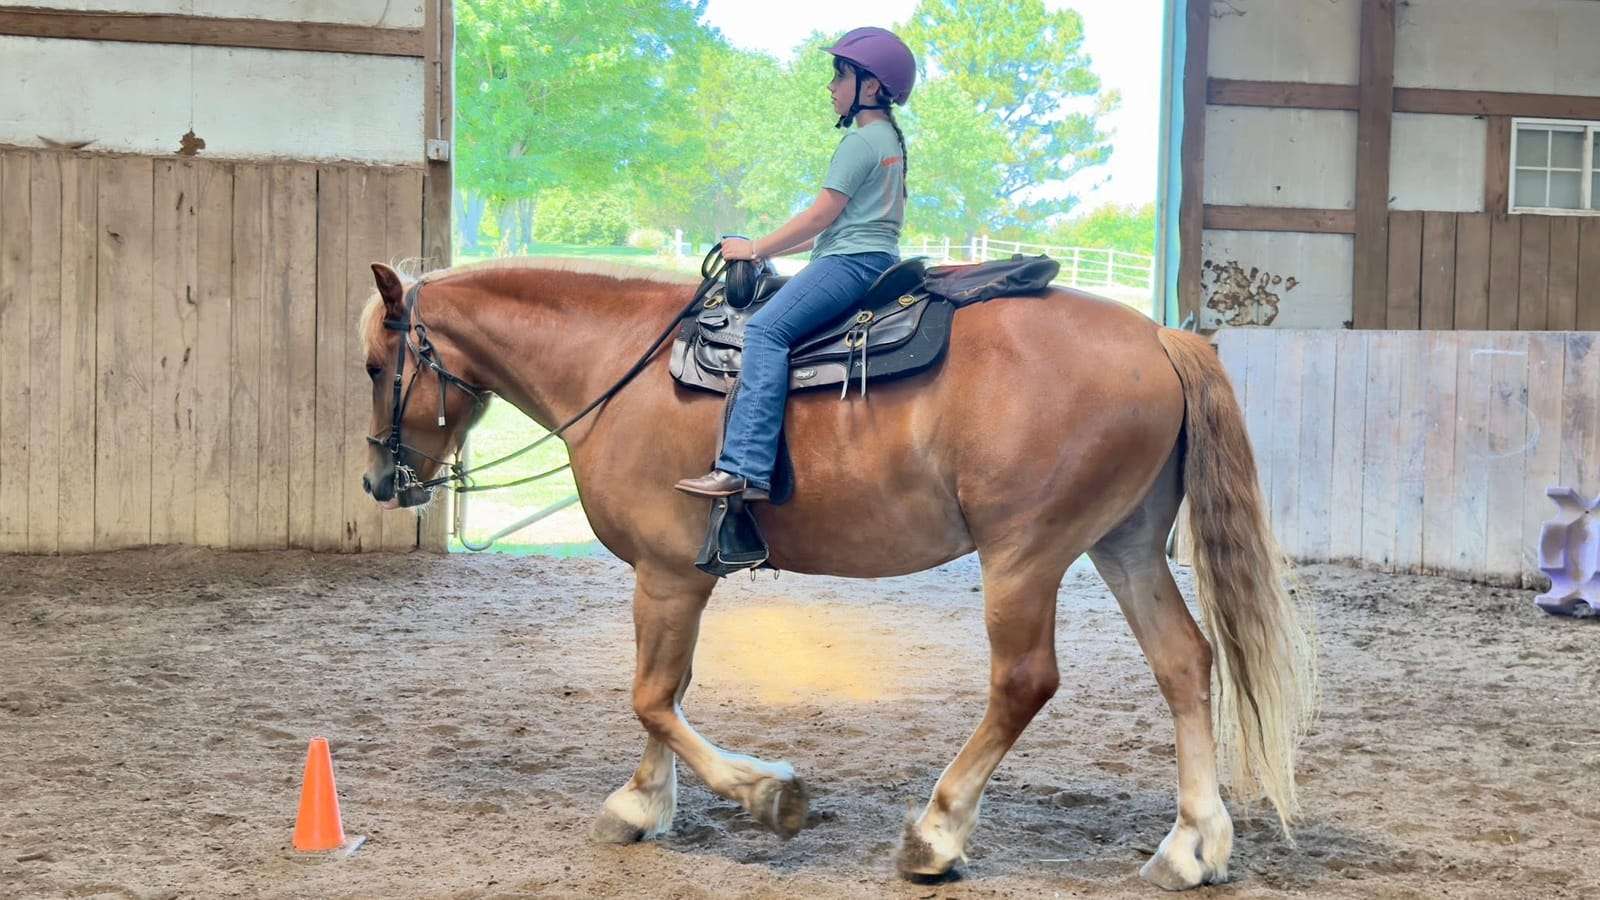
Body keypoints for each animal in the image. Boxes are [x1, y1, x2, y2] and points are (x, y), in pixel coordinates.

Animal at [358, 257, 1317, 889]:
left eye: (375, 365)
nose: (379, 482)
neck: (620, 367)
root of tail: (1159, 336)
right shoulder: (669, 579)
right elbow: (662, 693)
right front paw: (641, 805)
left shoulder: (670, 574)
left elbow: (652, 696)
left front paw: (764, 794)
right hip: (1122, 543)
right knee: (1184, 663)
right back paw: (1192, 846)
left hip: (1025, 553)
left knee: (1024, 682)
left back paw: (936, 834)